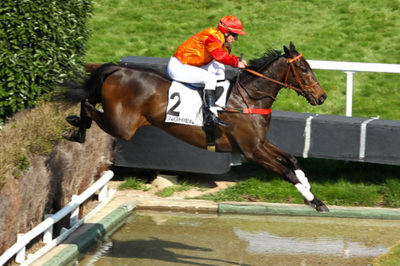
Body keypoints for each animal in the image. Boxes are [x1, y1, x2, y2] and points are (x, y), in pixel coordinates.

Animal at [58, 43, 328, 212]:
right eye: (303, 69)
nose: (322, 96)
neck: (249, 99)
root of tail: (119, 68)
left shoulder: (260, 143)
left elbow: (292, 160)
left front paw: (312, 194)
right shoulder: (252, 151)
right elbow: (287, 172)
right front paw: (312, 199)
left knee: (89, 101)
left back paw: (75, 125)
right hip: (121, 126)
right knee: (87, 104)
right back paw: (77, 131)